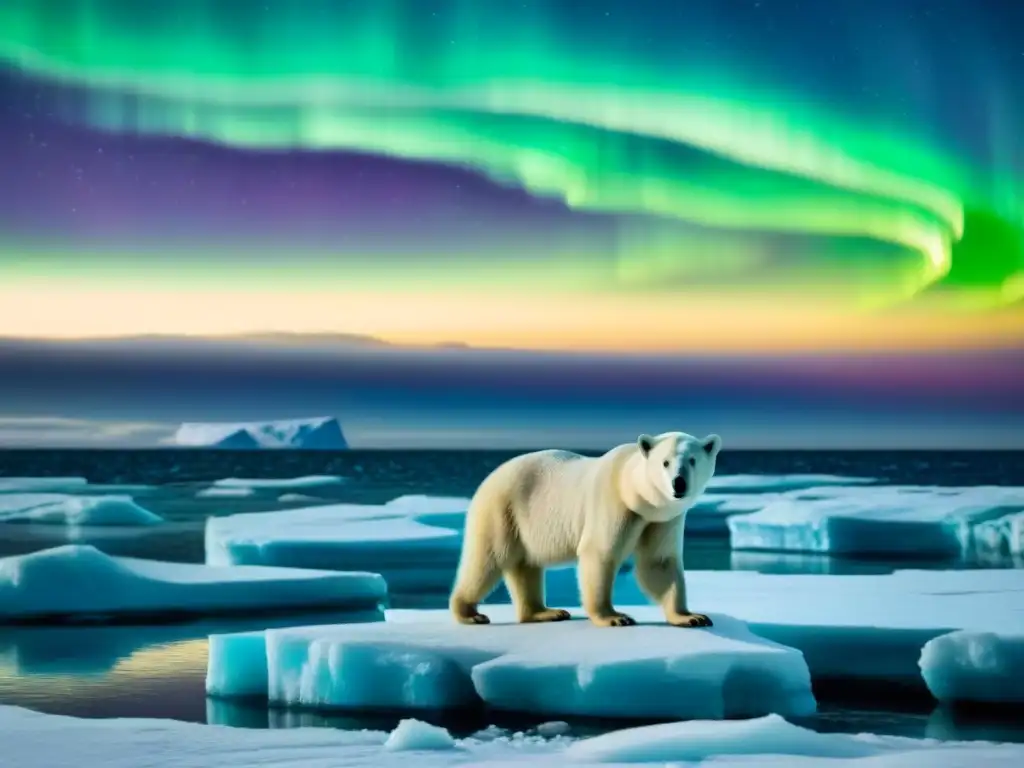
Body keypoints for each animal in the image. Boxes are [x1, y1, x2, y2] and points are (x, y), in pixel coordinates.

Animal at [448, 430, 720, 626]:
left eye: (693, 460)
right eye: (665, 462)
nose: (679, 483)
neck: (632, 490)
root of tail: (489, 477)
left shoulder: (663, 519)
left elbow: (659, 561)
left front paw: (691, 616)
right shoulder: (613, 504)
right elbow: (600, 554)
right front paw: (615, 617)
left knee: (525, 566)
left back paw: (544, 612)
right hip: (502, 510)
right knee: (488, 559)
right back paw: (469, 613)